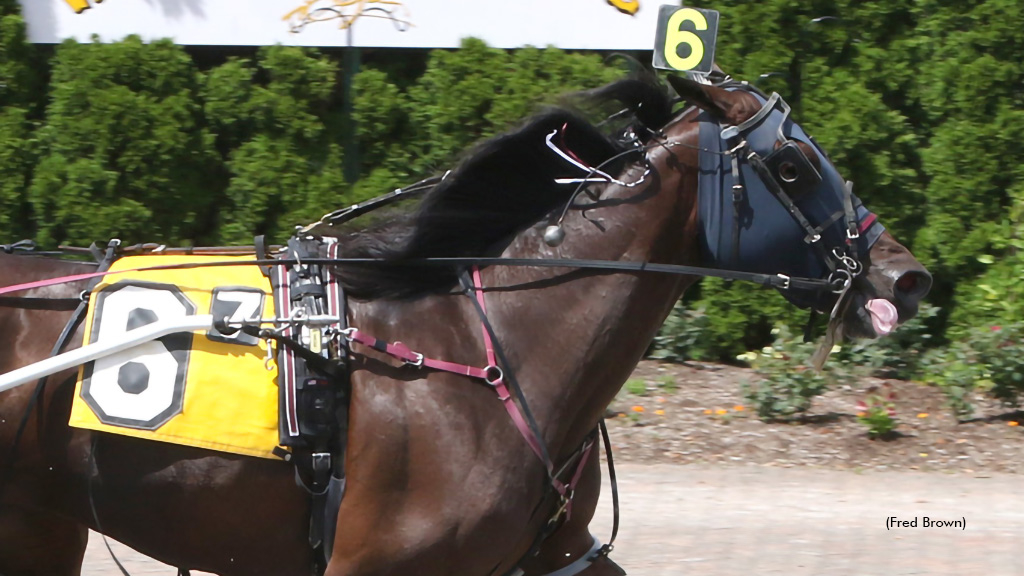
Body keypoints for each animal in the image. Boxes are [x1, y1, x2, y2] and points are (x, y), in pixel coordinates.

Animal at [0, 72, 929, 573]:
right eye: (793, 163)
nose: (905, 276)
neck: (495, 350)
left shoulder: (556, 554)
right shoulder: (375, 562)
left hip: (42, 523)